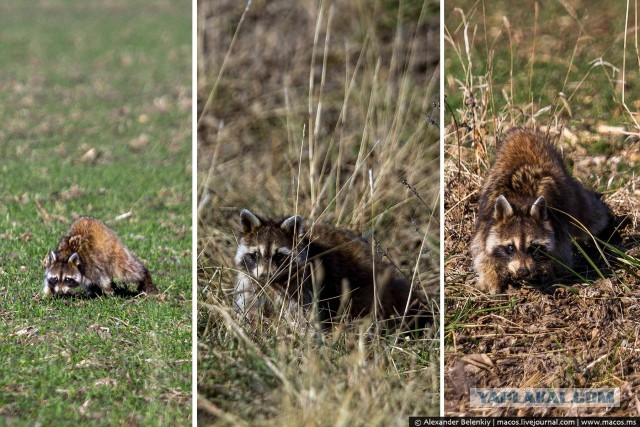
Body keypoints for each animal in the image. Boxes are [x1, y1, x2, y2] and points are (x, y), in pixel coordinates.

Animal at [232, 209, 432, 330]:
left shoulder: (303, 284)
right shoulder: (250, 279)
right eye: (255, 255)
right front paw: (249, 324)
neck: (274, 282)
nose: (265, 275)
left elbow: (303, 316)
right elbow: (249, 303)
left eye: (279, 256)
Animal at [470, 128, 616, 294]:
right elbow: (482, 254)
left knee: (590, 217)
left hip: (571, 195)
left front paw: (549, 273)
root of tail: (524, 132)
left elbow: (561, 258)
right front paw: (491, 278)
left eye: (533, 247)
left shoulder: (558, 224)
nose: (523, 271)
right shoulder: (486, 221)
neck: (521, 201)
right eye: (510, 248)